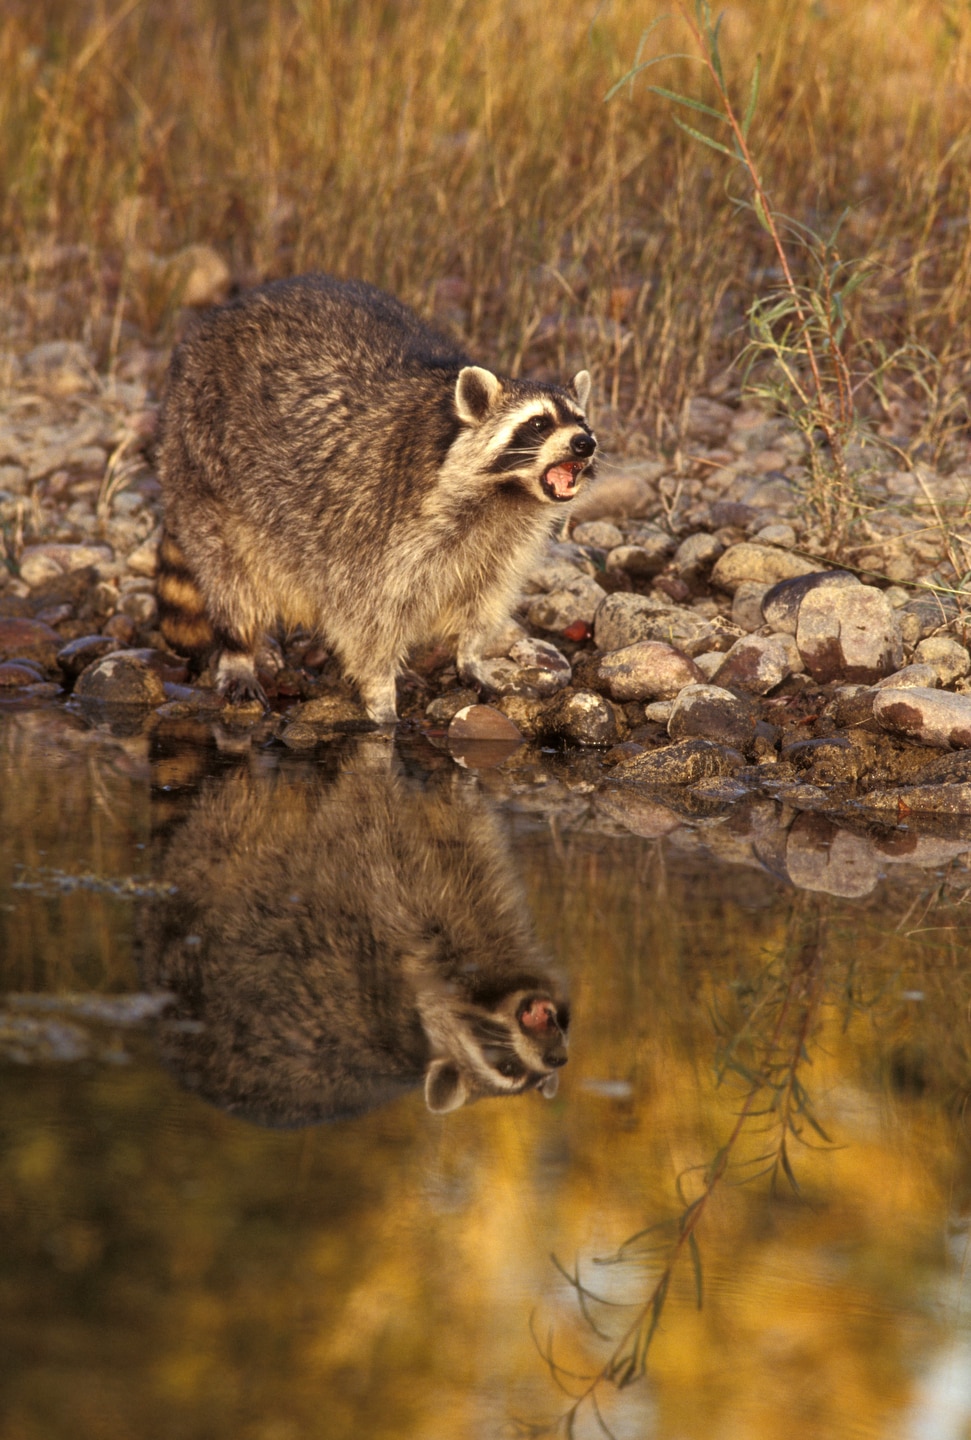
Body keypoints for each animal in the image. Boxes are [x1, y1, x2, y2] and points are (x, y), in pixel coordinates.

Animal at [139, 737, 570, 1128]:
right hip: (214, 852)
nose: (557, 1059)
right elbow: (374, 818)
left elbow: (471, 841)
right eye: (507, 1067)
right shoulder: (390, 895)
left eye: (538, 1079)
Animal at [154, 270, 593, 720]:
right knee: (230, 576)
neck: (506, 496)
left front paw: (469, 654)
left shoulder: (501, 546)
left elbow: (482, 598)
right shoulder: (378, 523)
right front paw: (381, 696)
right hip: (203, 464)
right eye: (539, 423)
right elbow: (368, 619)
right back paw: (239, 647)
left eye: (582, 421)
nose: (584, 444)